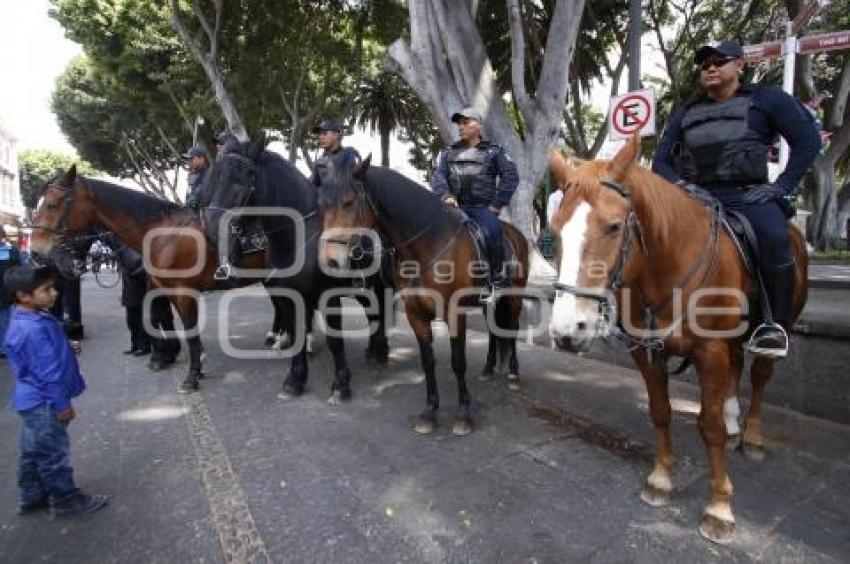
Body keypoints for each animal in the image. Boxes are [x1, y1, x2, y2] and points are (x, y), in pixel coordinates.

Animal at [29, 164, 288, 392]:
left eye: (52, 204)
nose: (36, 253)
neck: (164, 233)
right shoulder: (165, 289)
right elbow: (164, 320)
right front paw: (176, 359)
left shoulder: (182, 292)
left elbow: (186, 331)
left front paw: (190, 376)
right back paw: (278, 338)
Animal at [198, 138, 390, 400]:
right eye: (215, 177)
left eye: (243, 177)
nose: (211, 225)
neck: (298, 240)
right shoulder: (289, 296)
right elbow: (297, 333)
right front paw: (295, 379)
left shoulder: (329, 297)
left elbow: (335, 341)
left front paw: (341, 384)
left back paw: (380, 350)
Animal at [314, 158, 528, 436]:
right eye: (322, 204)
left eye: (349, 202)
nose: (329, 260)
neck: (427, 246)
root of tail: (515, 233)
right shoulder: (416, 314)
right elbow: (428, 362)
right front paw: (429, 412)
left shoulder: (453, 312)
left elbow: (458, 361)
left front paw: (463, 414)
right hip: (489, 302)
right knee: (494, 332)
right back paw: (489, 368)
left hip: (514, 298)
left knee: (511, 330)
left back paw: (513, 375)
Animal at [548, 134, 804, 544]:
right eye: (555, 230)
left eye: (614, 227)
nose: (569, 330)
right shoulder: (645, 351)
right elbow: (660, 411)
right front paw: (662, 478)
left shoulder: (709, 351)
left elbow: (709, 427)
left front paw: (719, 507)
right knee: (737, 365)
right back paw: (734, 418)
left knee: (760, 375)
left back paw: (751, 435)